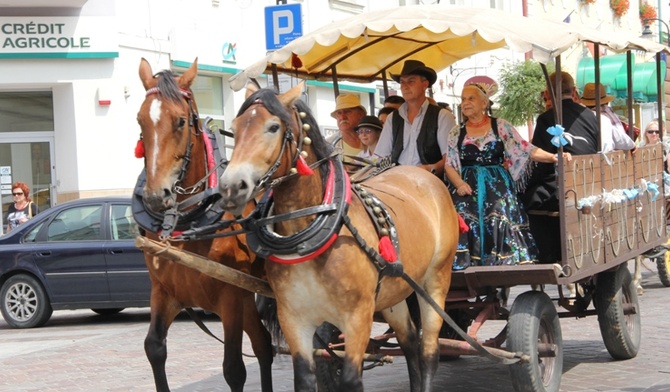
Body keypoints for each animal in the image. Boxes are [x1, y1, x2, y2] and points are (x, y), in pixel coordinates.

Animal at [135, 59, 274, 392]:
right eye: (140, 121)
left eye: (181, 121)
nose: (156, 196)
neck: (188, 221)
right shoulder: (164, 291)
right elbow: (154, 348)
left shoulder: (230, 296)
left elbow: (233, 369)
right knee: (264, 345)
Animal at [220, 83, 462, 392]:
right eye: (236, 128)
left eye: (273, 127)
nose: (230, 187)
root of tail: (424, 176)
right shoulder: (294, 318)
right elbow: (305, 378)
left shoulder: (357, 316)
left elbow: (350, 379)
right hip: (394, 290)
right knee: (409, 342)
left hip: (435, 281)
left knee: (429, 351)